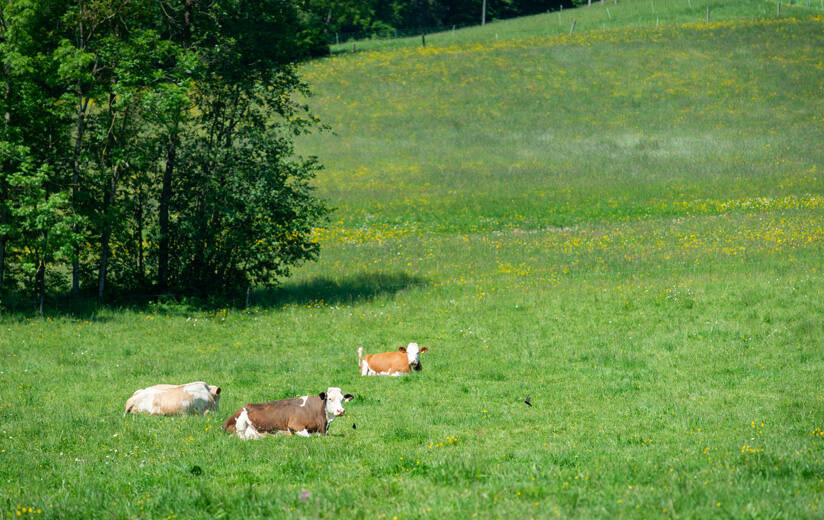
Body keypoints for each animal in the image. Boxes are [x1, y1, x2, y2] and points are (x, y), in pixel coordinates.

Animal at [222, 386, 354, 438]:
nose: (341, 411)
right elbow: (308, 436)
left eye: (342, 399)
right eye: (330, 399)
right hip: (240, 424)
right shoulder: (295, 425)